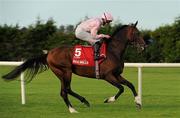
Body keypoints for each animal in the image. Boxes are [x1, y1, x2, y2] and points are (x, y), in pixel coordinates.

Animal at [2, 21, 146, 113]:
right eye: (137, 33)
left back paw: (77, 106)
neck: (113, 51)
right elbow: (121, 88)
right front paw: (108, 100)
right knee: (66, 89)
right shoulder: (107, 76)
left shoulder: (117, 74)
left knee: (64, 91)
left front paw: (138, 103)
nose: (144, 46)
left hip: (62, 73)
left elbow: (131, 85)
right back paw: (79, 105)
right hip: (65, 71)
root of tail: (49, 53)